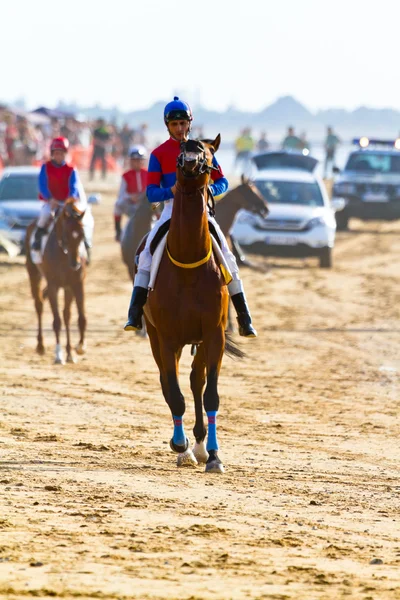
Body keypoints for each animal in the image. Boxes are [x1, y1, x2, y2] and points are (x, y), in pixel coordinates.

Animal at [25, 199, 87, 364]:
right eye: (66, 234)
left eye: (82, 235)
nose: (75, 263)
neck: (63, 254)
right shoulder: (53, 285)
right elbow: (57, 321)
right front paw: (59, 354)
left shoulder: (75, 284)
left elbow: (78, 317)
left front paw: (77, 348)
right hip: (34, 274)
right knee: (39, 305)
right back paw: (40, 345)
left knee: (64, 313)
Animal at [142, 136, 241, 474]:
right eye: (181, 152)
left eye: (208, 156)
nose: (189, 161)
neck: (188, 262)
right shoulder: (167, 338)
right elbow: (173, 393)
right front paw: (180, 445)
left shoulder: (213, 334)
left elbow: (210, 395)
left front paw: (213, 454)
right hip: (155, 337)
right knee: (168, 382)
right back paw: (187, 444)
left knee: (196, 381)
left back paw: (199, 443)